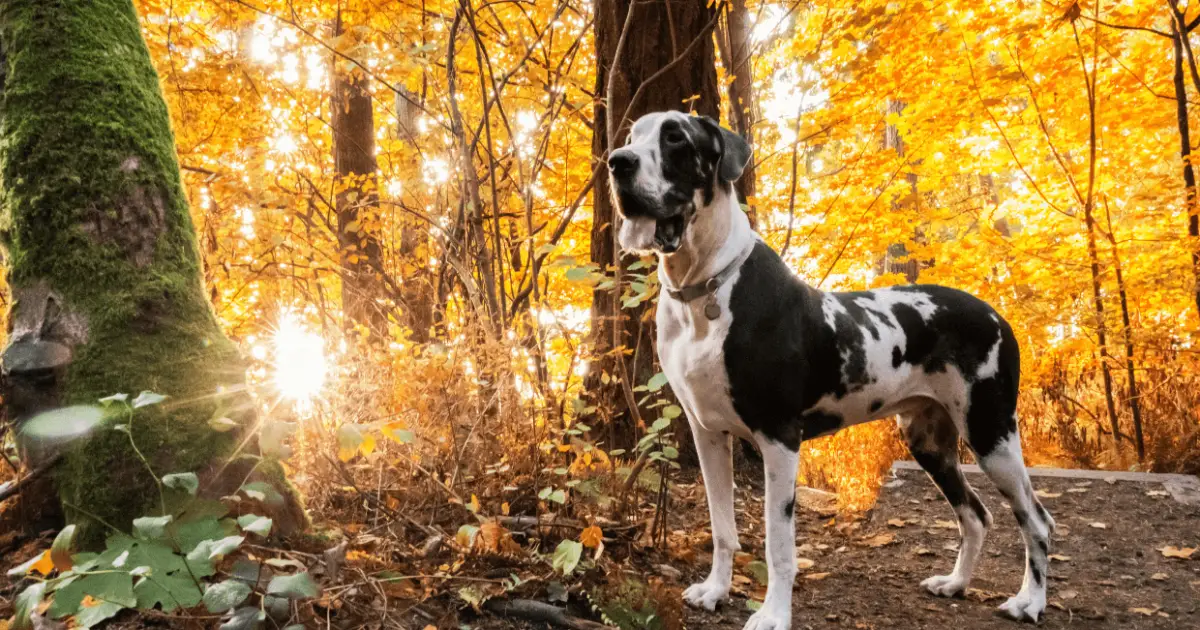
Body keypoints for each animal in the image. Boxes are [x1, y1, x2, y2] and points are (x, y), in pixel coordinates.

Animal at [614, 111, 1056, 628]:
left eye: (675, 138)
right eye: (632, 137)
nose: (617, 162)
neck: (705, 288)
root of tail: (996, 316)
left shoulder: (779, 439)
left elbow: (779, 544)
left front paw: (773, 614)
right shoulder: (708, 434)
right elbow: (722, 527)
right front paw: (716, 590)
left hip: (992, 434)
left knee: (1036, 520)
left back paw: (1031, 601)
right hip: (929, 440)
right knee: (975, 515)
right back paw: (956, 583)